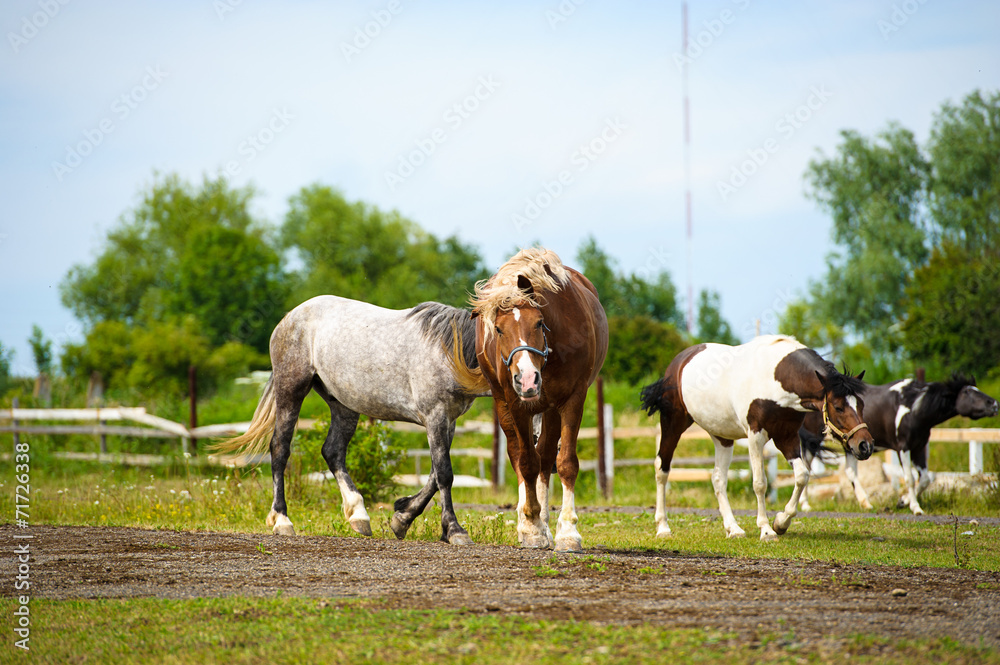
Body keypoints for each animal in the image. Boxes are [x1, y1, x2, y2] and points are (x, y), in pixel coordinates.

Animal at [215, 296, 487, 544]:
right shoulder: (435, 415)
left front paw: (402, 518)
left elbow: (433, 474)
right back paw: (282, 520)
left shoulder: (447, 420)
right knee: (280, 448)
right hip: (290, 390)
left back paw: (359, 515)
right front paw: (454, 530)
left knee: (333, 451)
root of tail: (289, 317)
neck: (450, 350)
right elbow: (443, 474)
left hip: (343, 405)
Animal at [450, 248, 608, 551]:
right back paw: (528, 521)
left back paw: (546, 522)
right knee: (520, 456)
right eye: (499, 329)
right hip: (504, 403)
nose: (527, 380)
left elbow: (565, 462)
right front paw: (532, 526)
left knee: (546, 457)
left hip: (550, 409)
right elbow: (526, 462)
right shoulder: (516, 403)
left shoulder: (572, 399)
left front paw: (567, 531)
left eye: (539, 322)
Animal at [639, 335, 875, 541]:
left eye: (861, 404)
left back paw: (733, 528)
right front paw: (766, 530)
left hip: (722, 436)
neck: (777, 378)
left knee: (718, 478)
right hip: (673, 424)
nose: (865, 445)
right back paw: (663, 527)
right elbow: (760, 483)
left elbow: (801, 476)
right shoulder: (756, 436)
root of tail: (679, 361)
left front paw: (781, 522)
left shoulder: (786, 438)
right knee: (662, 468)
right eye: (838, 406)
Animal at [799, 373, 998, 514]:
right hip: (816, 442)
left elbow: (925, 479)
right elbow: (909, 477)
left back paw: (864, 502)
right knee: (807, 467)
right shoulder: (903, 447)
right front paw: (916, 508)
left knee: (848, 471)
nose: (994, 403)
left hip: (852, 447)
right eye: (968, 392)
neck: (914, 408)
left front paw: (903, 501)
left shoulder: (919, 447)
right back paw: (806, 504)